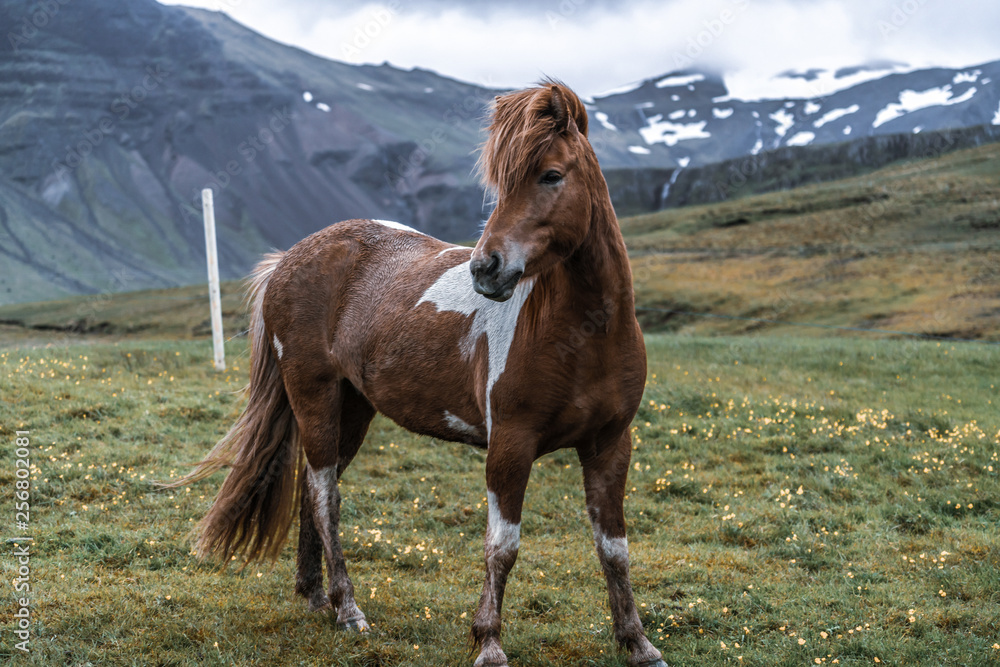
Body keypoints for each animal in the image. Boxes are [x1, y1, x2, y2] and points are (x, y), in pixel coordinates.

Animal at [171, 81, 668, 664]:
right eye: (500, 183)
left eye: (551, 175)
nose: (485, 268)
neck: (583, 334)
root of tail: (289, 260)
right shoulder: (511, 444)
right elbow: (502, 548)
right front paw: (488, 642)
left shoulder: (610, 445)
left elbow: (614, 549)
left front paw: (637, 642)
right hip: (315, 397)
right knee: (324, 496)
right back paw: (348, 609)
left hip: (353, 408)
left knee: (312, 492)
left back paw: (316, 595)